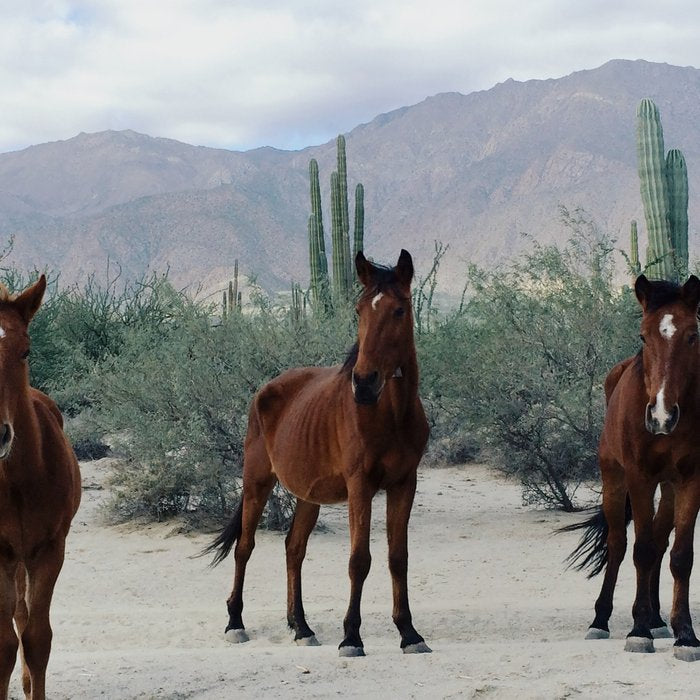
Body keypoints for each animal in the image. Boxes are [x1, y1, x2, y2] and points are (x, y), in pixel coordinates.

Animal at [204, 249, 431, 657]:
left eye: (399, 310)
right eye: (359, 309)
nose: (364, 382)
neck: (389, 414)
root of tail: (267, 389)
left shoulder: (405, 484)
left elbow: (398, 558)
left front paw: (409, 633)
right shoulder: (360, 486)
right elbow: (359, 560)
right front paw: (351, 637)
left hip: (307, 495)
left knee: (294, 549)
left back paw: (301, 627)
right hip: (257, 481)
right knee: (244, 547)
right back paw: (235, 622)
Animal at [565, 274, 700, 661]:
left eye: (693, 334)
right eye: (643, 335)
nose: (662, 416)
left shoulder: (691, 480)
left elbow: (679, 555)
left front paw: (685, 634)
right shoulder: (639, 478)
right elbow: (640, 549)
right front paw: (638, 632)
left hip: (667, 488)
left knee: (659, 539)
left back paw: (657, 618)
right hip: (613, 479)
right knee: (618, 543)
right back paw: (602, 620)